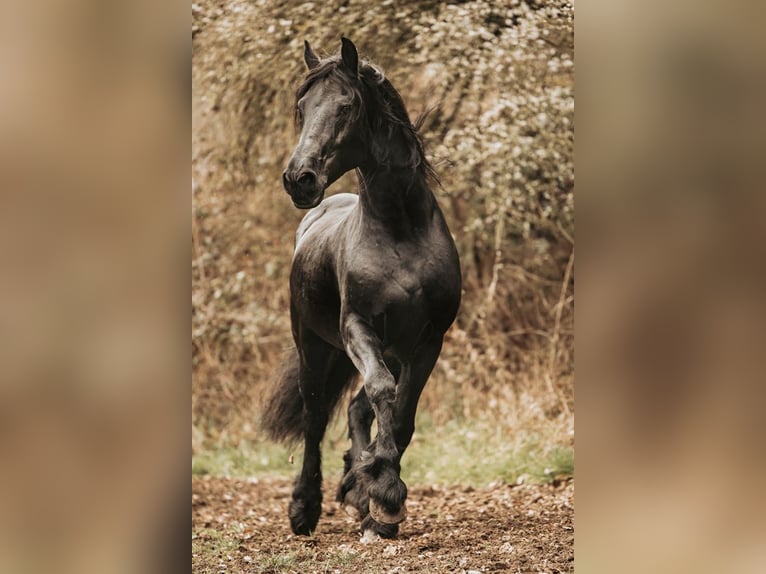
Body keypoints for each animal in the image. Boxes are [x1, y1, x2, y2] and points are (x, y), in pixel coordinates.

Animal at [262, 37, 461, 540]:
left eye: (346, 105)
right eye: (302, 107)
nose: (299, 179)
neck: (399, 231)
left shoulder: (427, 340)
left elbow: (402, 414)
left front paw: (378, 494)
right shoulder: (357, 327)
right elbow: (383, 392)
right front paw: (384, 495)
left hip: (386, 348)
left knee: (355, 409)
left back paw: (357, 484)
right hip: (314, 347)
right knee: (316, 419)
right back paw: (305, 508)